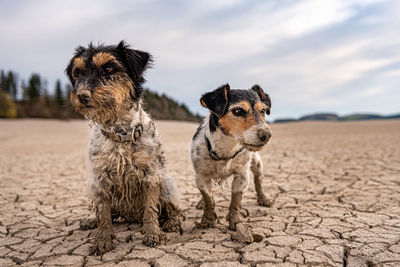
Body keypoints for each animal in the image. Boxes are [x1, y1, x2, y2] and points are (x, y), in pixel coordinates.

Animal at [66, 41, 181, 255]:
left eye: (109, 69)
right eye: (77, 73)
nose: (82, 95)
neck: (119, 133)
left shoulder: (151, 174)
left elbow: (151, 208)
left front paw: (152, 233)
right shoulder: (100, 179)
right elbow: (103, 215)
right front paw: (103, 240)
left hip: (168, 184)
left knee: (172, 210)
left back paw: (171, 223)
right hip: (91, 186)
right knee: (107, 213)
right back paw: (90, 222)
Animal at [191, 85, 272, 231]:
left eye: (263, 110)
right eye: (238, 110)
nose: (267, 135)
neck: (227, 147)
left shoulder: (242, 176)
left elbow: (235, 201)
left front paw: (235, 221)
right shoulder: (200, 176)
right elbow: (209, 199)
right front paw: (208, 219)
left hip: (257, 163)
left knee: (259, 181)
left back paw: (263, 198)